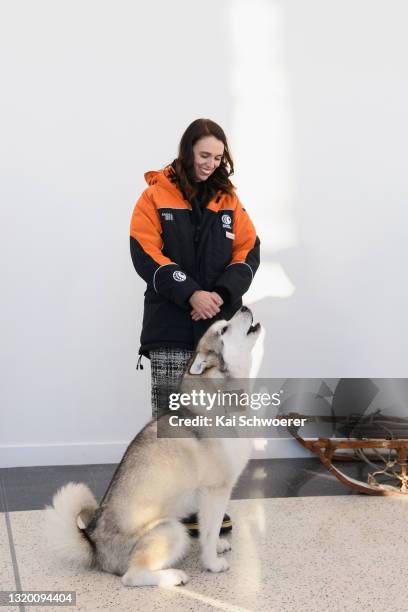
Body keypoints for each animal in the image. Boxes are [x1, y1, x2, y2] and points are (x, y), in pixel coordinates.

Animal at [44, 308, 262, 584]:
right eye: (223, 329)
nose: (244, 308)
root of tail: (95, 545)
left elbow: (207, 530)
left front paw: (216, 547)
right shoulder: (216, 490)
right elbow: (210, 531)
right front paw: (212, 562)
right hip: (170, 529)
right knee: (132, 576)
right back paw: (172, 577)